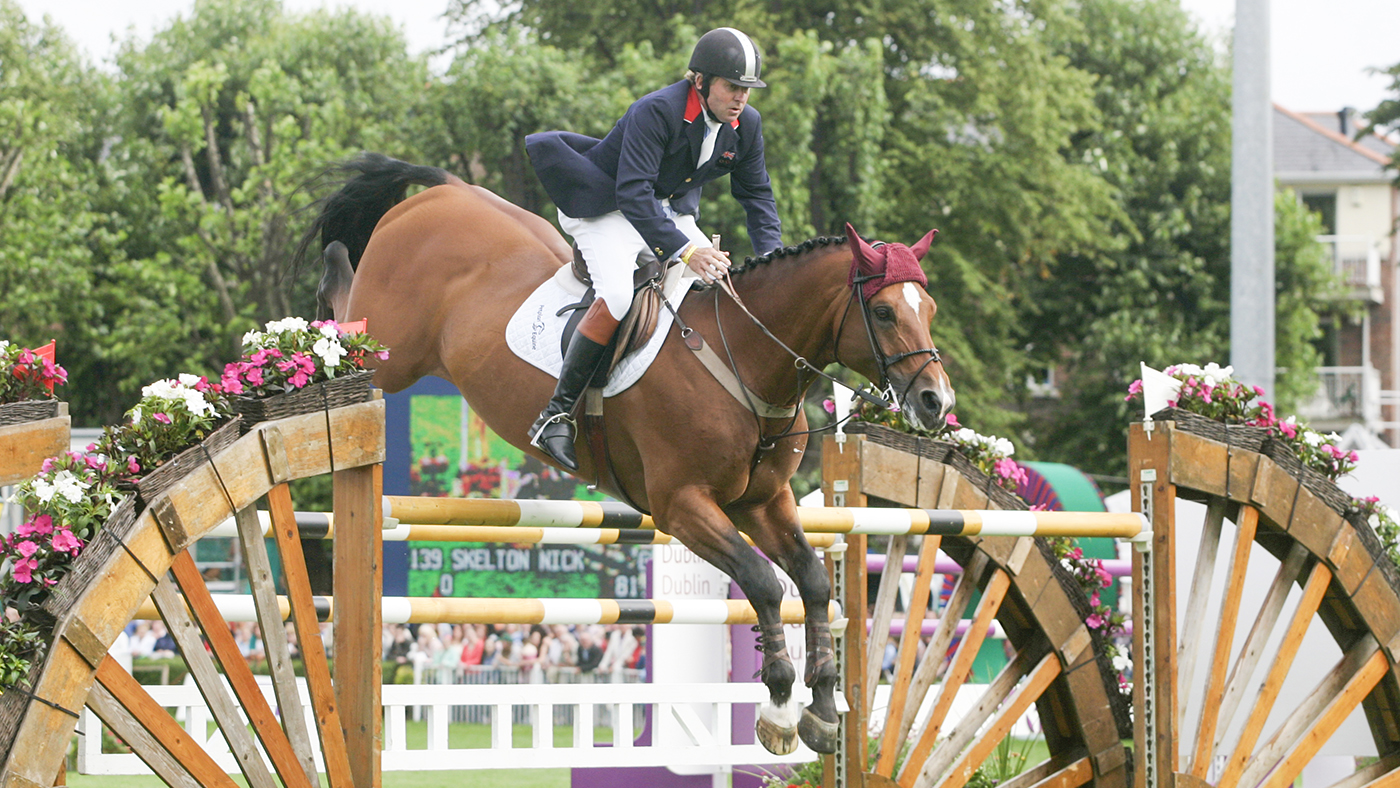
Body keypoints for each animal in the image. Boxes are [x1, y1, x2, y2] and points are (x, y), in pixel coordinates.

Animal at [301, 152, 957, 750]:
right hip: (392, 347)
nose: (936, 402)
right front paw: (776, 703)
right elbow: (763, 583)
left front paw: (820, 707)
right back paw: (310, 325)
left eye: (929, 309)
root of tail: (441, 194)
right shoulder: (681, 505)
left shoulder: (762, 503)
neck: (742, 354)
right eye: (883, 311)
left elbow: (815, 582)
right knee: (344, 319)